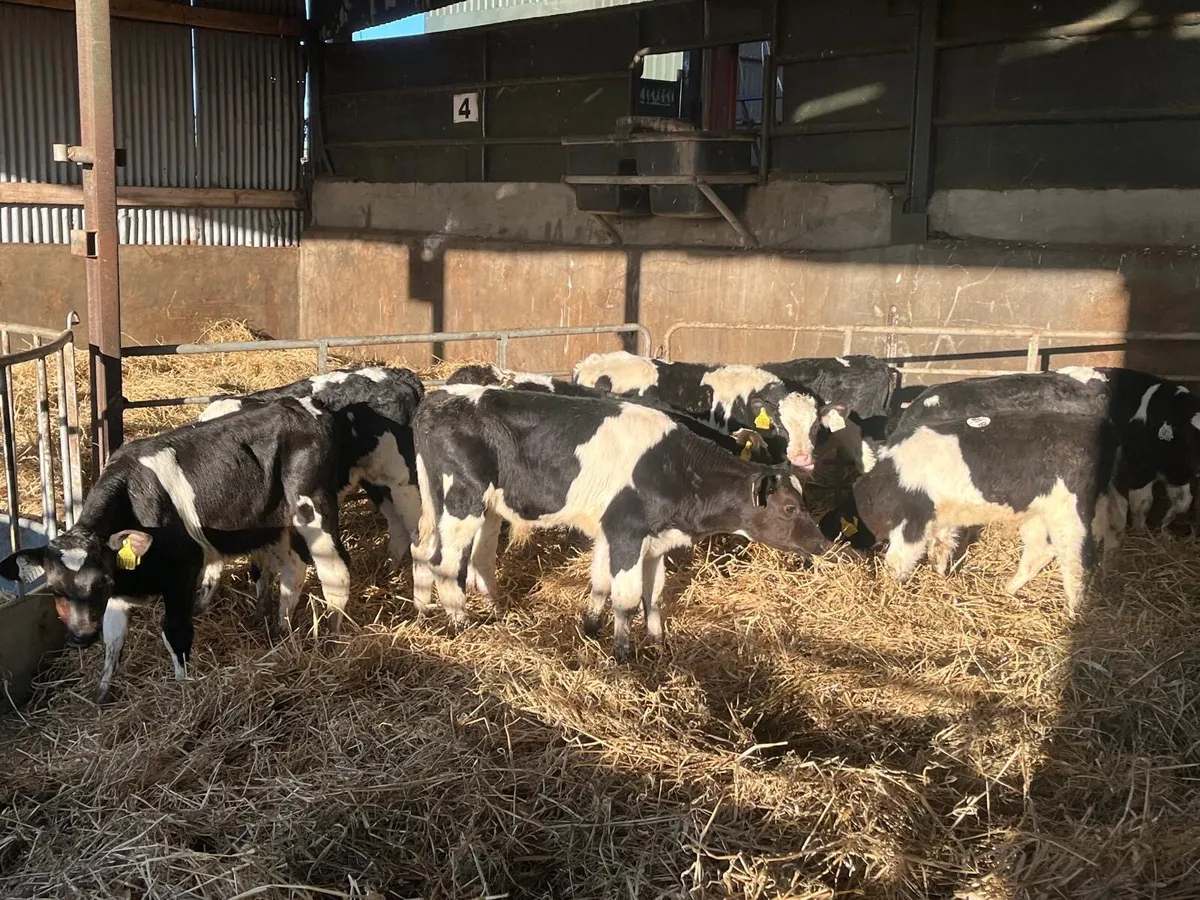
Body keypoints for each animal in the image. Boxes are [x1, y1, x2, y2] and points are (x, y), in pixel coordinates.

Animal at [0, 399, 353, 700]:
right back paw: (281, 629)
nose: (81, 637)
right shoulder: (121, 591)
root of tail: (302, 406)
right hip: (276, 523)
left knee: (335, 573)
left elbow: (174, 631)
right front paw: (102, 692)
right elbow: (114, 638)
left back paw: (333, 639)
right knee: (293, 569)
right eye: (55, 588)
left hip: (314, 510)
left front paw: (182, 689)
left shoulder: (182, 572)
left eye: (101, 583)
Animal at [197, 366, 424, 630]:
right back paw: (387, 572)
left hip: (403, 482)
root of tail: (398, 375)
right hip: (378, 483)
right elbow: (261, 568)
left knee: (420, 536)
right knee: (397, 528)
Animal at [410, 385, 831, 662]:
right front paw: (622, 654)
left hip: (459, 504)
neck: (675, 469)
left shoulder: (647, 539)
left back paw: (431, 611)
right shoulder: (626, 531)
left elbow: (645, 592)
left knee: (435, 551)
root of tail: (439, 397)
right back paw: (460, 622)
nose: (823, 543)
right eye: (790, 508)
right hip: (463, 498)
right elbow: (626, 597)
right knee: (446, 563)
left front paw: (646, 641)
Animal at [851, 412, 1126, 618]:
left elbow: (897, 561)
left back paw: (1072, 616)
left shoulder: (912, 522)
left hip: (1070, 514)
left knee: (1077, 563)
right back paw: (1007, 590)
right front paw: (940, 580)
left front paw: (886, 595)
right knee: (1042, 551)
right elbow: (940, 551)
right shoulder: (941, 520)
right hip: (1037, 514)